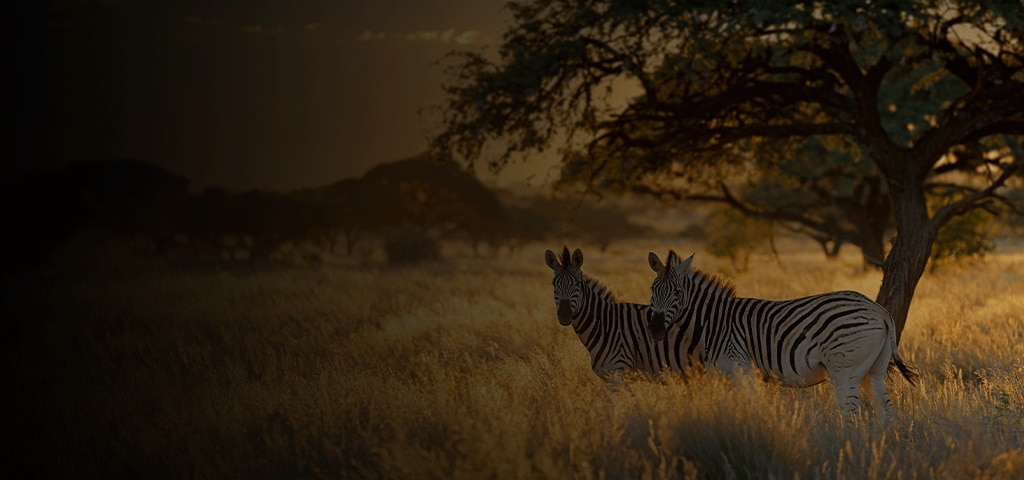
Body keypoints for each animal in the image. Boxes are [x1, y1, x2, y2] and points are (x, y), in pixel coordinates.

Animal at [647, 250, 916, 424]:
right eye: (652, 289)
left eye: (678, 292)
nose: (656, 329)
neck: (715, 322)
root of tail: (879, 309)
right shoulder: (724, 376)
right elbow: (729, 409)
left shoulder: (740, 367)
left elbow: (751, 408)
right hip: (874, 370)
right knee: (886, 411)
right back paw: (883, 448)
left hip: (845, 369)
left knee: (850, 412)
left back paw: (848, 448)